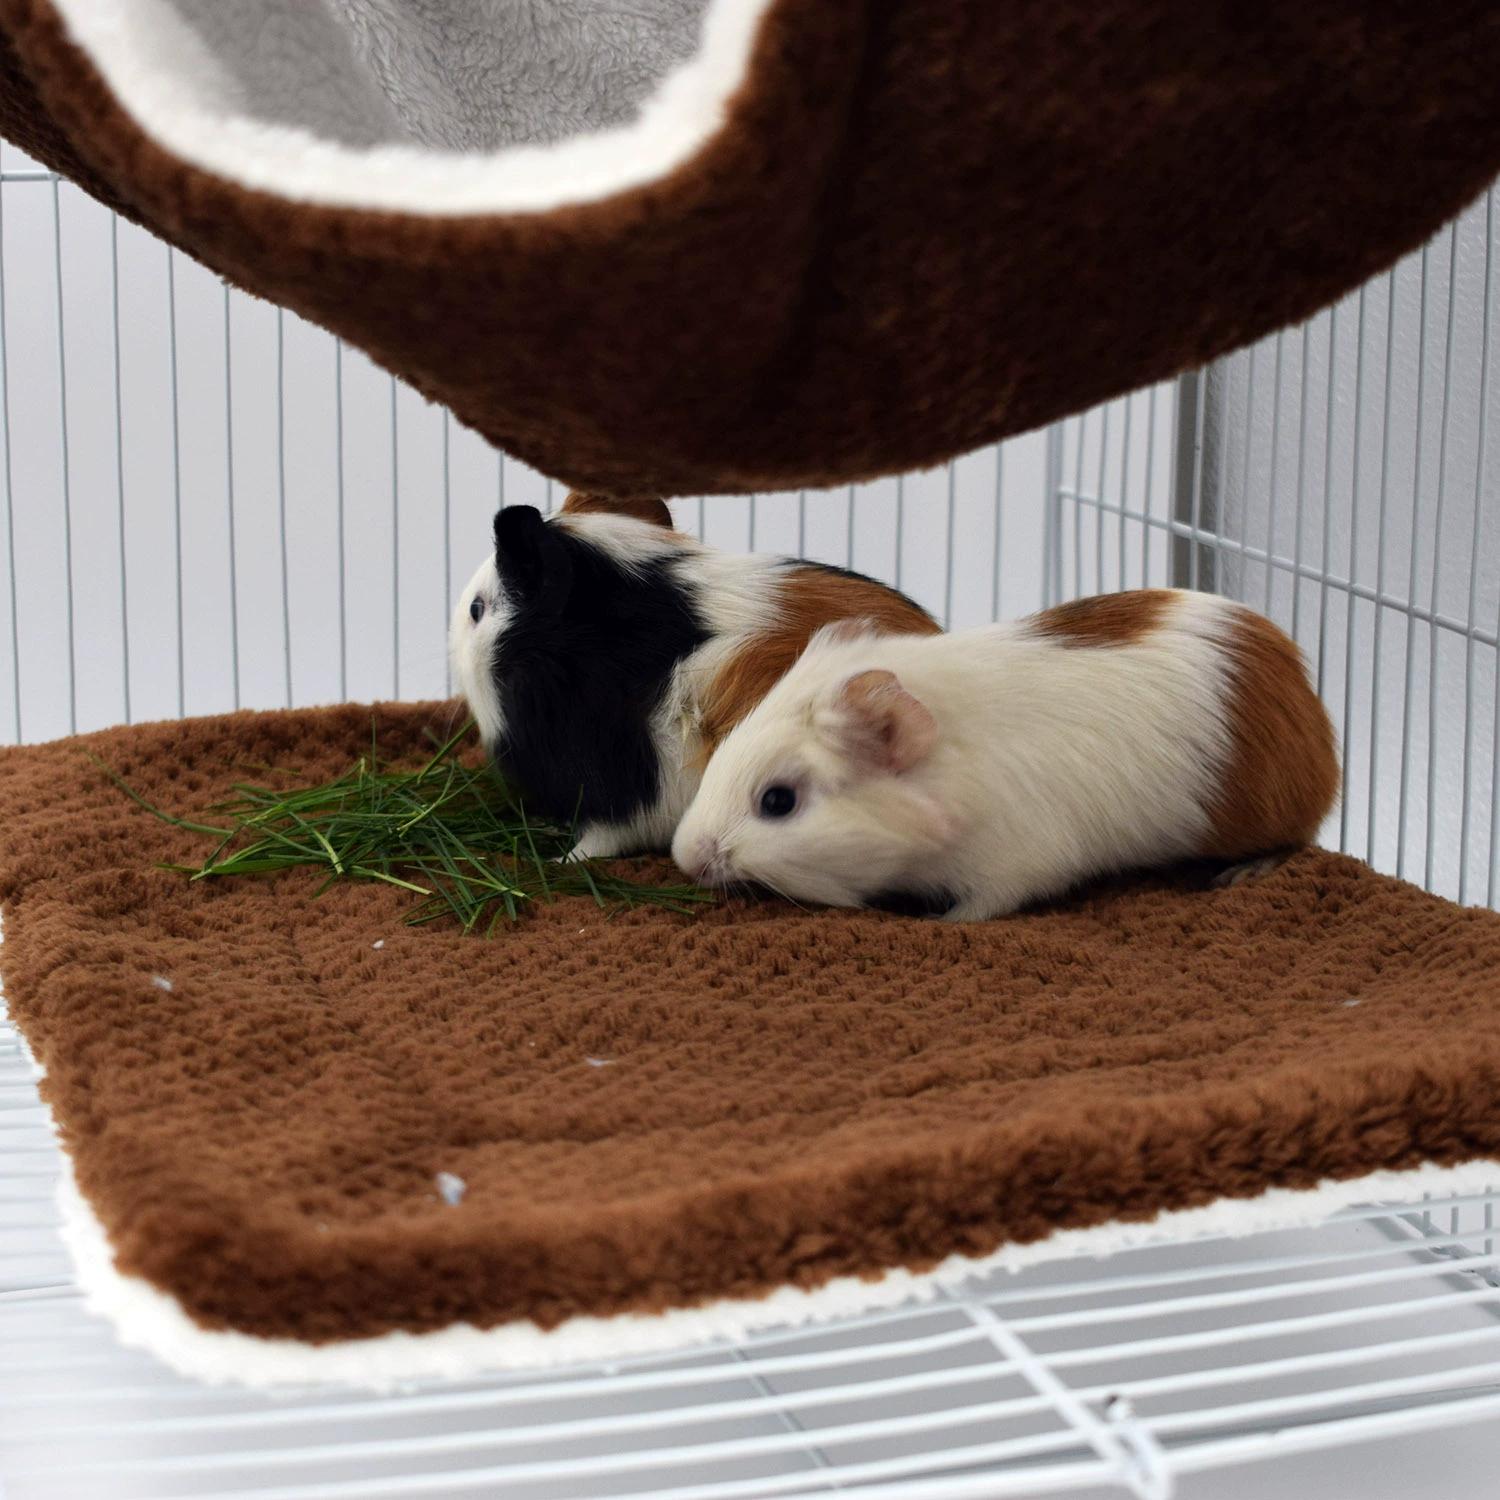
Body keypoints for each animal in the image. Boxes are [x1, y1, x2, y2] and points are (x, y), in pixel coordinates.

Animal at [671, 588, 1340, 920]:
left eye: (777, 801)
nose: (687, 857)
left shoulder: (1015, 866)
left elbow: (985, 906)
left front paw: (942, 924)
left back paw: (1239, 874)